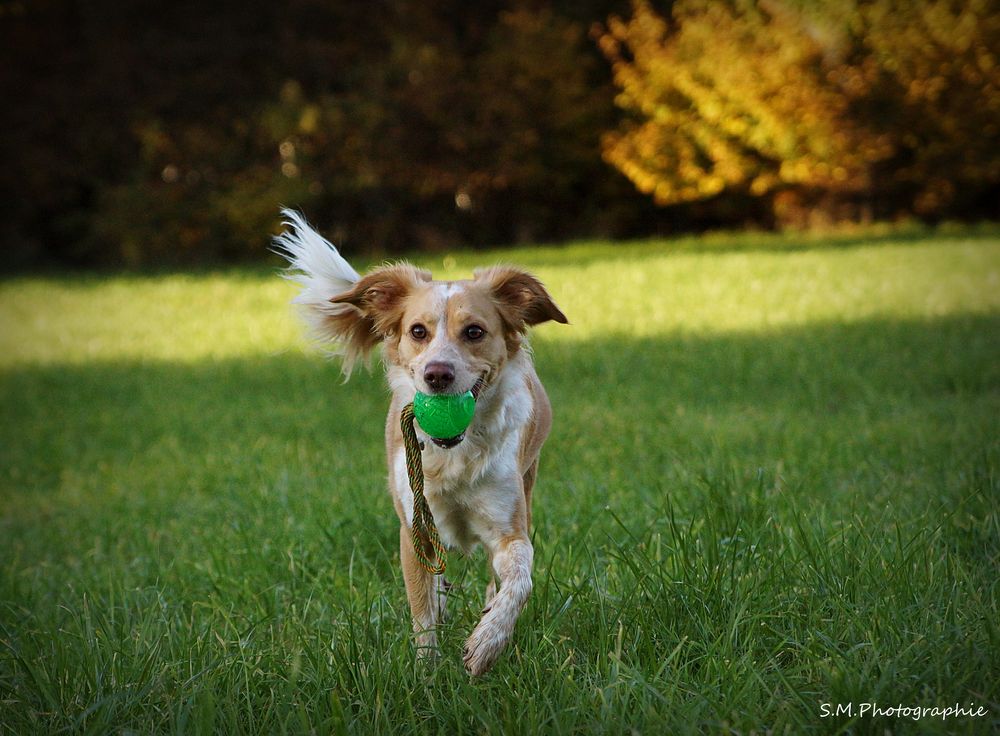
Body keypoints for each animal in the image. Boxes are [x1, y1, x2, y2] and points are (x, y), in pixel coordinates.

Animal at [278, 210, 568, 676]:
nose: (437, 374)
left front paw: (486, 642)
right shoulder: (415, 525)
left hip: (527, 480)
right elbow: (423, 610)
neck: (453, 453)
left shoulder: (508, 523)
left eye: (474, 331)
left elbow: (518, 577)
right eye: (418, 331)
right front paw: (427, 674)